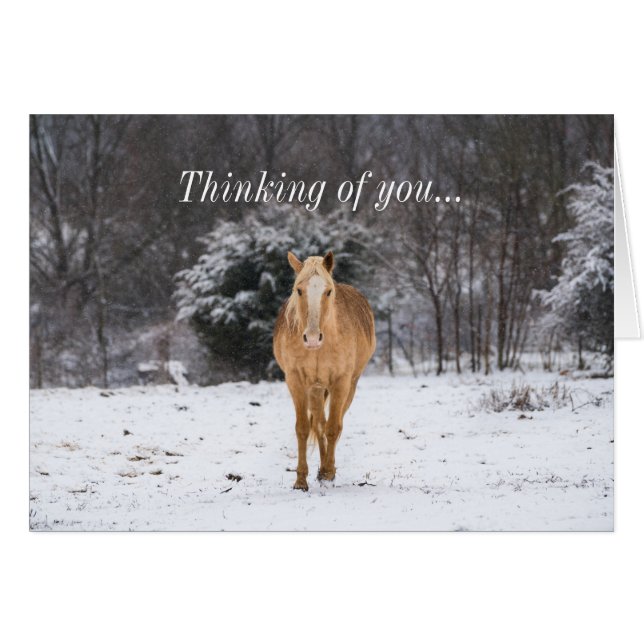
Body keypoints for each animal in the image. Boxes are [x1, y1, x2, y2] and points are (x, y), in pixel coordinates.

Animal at [273, 251, 376, 491]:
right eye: (299, 290)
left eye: (328, 291)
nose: (312, 338)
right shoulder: (296, 381)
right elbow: (303, 428)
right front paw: (301, 480)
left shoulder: (341, 382)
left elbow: (333, 428)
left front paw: (329, 472)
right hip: (316, 388)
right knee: (319, 423)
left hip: (349, 385)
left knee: (334, 424)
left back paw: (327, 469)